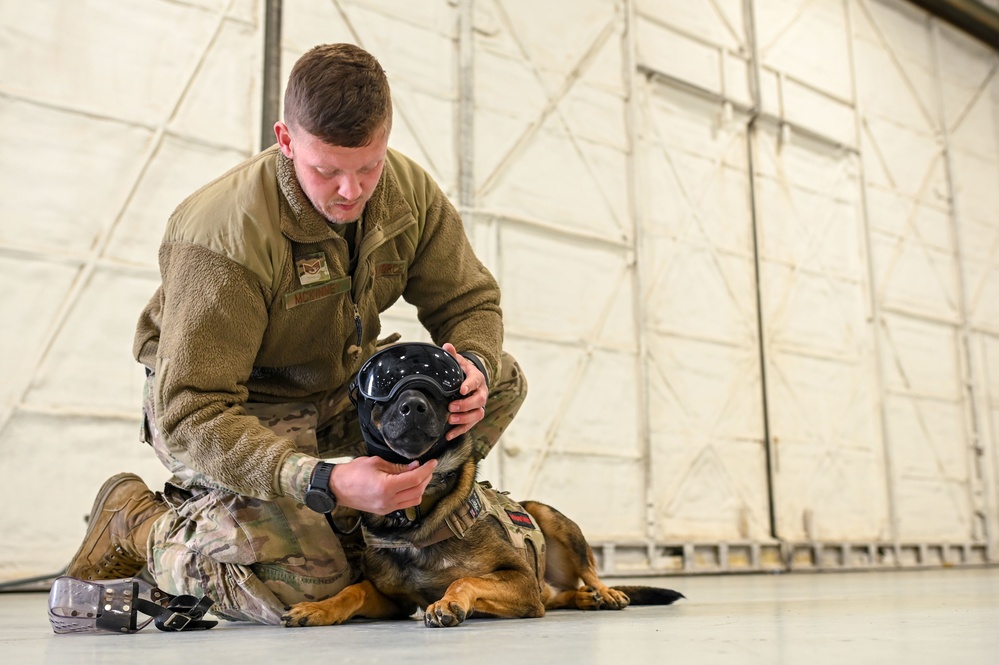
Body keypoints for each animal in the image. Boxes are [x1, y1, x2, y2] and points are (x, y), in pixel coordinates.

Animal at [282, 378, 688, 628]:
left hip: (546, 517)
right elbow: (354, 590)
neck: (415, 523)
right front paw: (318, 608)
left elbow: (466, 579)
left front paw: (448, 602)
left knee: (589, 571)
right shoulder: (393, 601)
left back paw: (605, 594)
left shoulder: (521, 583)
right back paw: (587, 599)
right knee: (566, 594)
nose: (412, 406)